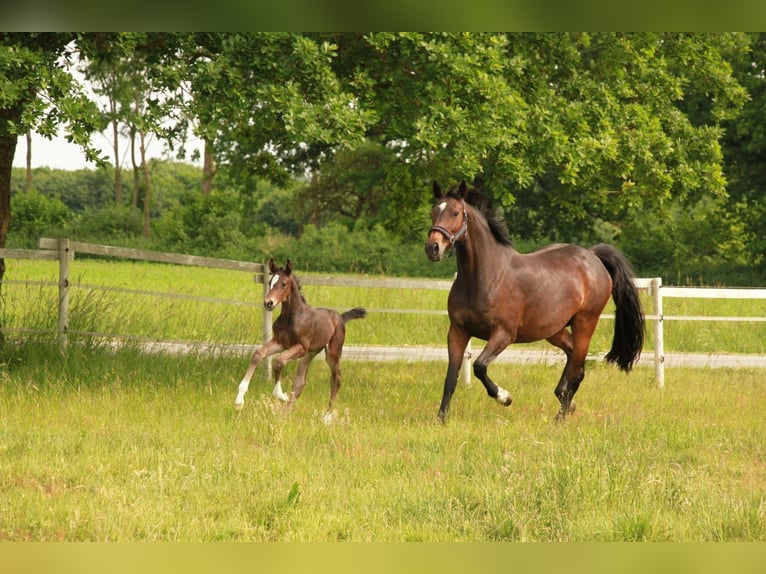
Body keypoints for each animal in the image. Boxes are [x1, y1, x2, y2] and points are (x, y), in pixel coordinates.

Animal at [234, 258, 367, 423]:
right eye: (270, 281)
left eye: (284, 283)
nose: (268, 303)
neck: (291, 317)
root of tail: (340, 318)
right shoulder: (280, 342)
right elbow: (258, 355)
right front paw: (239, 400)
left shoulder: (300, 346)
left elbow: (278, 362)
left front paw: (280, 395)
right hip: (310, 353)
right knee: (300, 382)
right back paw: (284, 416)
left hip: (332, 353)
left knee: (336, 379)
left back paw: (326, 417)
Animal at [425, 181, 645, 422]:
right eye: (433, 212)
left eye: (455, 213)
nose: (432, 248)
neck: (484, 277)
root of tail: (593, 256)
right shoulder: (458, 331)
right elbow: (450, 378)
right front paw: (441, 419)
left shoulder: (504, 334)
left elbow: (480, 366)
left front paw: (505, 397)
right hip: (554, 330)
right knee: (572, 357)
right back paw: (566, 401)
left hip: (585, 322)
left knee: (577, 368)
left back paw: (560, 418)